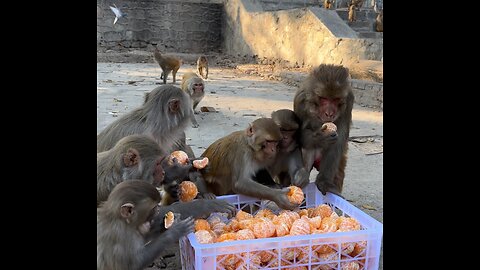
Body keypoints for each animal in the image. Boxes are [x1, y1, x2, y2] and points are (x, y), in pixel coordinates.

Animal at [290, 64, 354, 197]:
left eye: (335, 99)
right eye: (324, 98)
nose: (329, 113)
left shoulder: (349, 102)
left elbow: (338, 141)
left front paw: (325, 182)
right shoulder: (300, 100)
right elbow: (297, 135)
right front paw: (321, 138)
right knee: (307, 149)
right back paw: (301, 178)